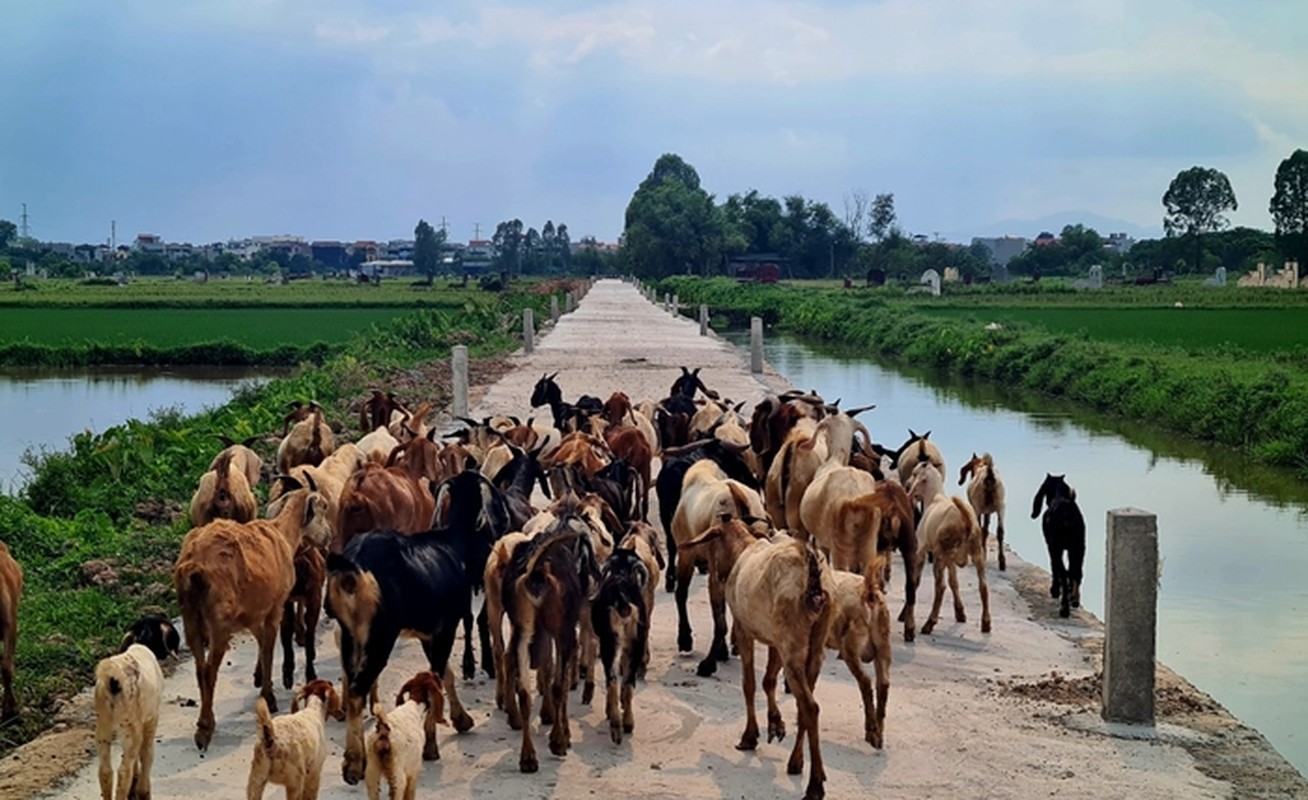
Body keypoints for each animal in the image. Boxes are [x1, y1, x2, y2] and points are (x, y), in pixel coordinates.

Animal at [93, 614, 177, 794]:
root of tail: (113, 677)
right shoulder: (151, 719)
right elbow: (146, 755)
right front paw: (143, 789)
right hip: (130, 727)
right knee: (124, 770)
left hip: (103, 726)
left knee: (105, 771)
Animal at [172, 483, 332, 752]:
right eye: (322, 508)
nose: (329, 537)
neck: (284, 534)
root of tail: (193, 565)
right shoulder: (276, 607)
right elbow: (268, 648)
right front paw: (269, 695)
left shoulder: (255, 610)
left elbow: (260, 640)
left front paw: (258, 679)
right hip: (219, 619)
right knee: (209, 670)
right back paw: (205, 728)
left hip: (190, 615)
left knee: (199, 668)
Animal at [1025, 475, 1088, 619]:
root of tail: (1067, 513)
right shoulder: (1070, 549)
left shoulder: (1051, 546)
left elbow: (1054, 567)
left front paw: (1054, 590)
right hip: (1079, 547)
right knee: (1077, 572)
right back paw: (1074, 599)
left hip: (1057, 547)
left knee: (1063, 573)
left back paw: (1064, 608)